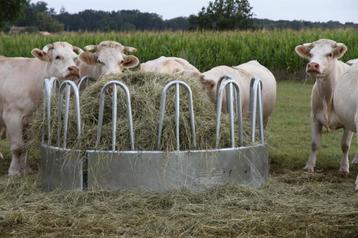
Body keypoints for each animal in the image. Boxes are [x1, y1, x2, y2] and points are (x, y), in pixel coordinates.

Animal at [0, 41, 81, 175]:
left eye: (75, 58)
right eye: (58, 57)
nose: (74, 69)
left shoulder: (31, 120)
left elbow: (26, 146)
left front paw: (25, 169)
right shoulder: (12, 117)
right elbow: (17, 147)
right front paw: (14, 171)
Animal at [296, 38, 352, 173]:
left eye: (330, 54)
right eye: (310, 54)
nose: (312, 65)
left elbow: (345, 145)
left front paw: (344, 168)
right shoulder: (315, 118)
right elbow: (314, 144)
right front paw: (309, 166)